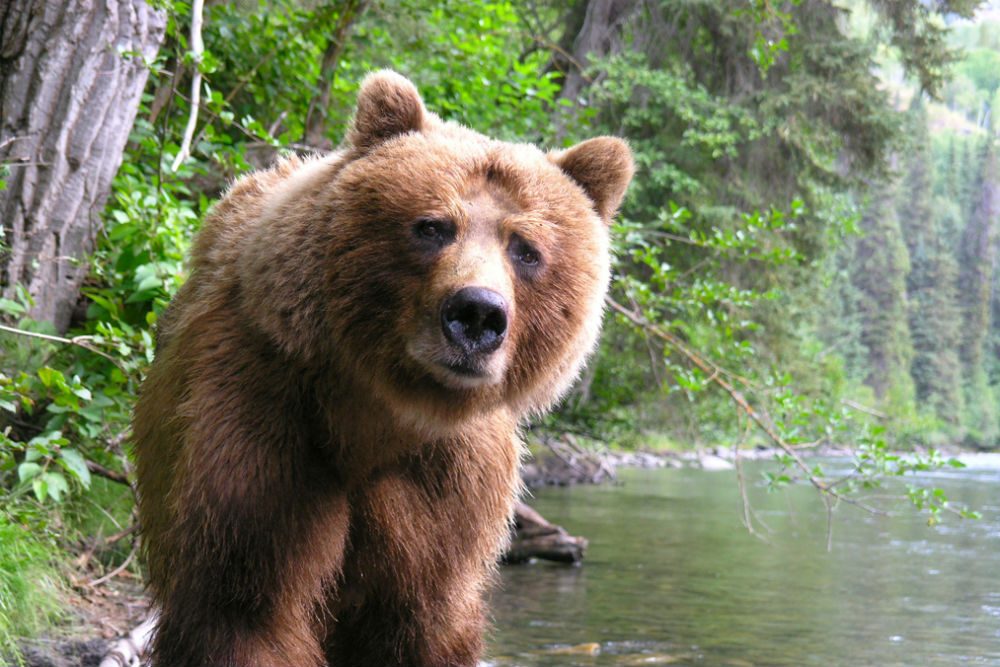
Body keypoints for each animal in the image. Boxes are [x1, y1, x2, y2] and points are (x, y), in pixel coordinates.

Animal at [133, 70, 632, 664]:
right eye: (433, 226)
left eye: (526, 248)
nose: (477, 313)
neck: (377, 411)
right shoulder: (261, 417)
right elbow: (245, 603)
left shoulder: (445, 480)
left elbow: (419, 617)